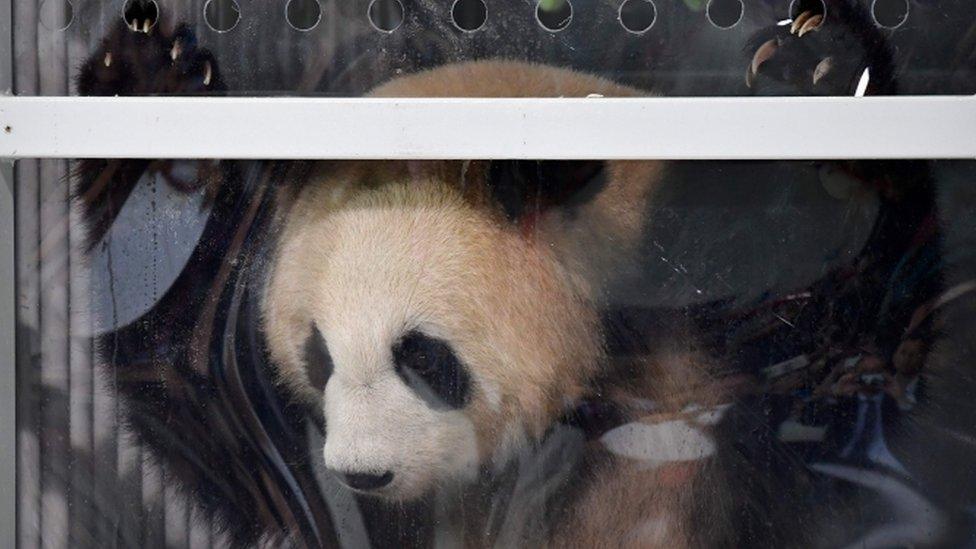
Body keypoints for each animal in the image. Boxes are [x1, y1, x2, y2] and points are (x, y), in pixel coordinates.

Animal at [70, 2, 968, 544]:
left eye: (422, 353)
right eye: (317, 355)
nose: (363, 473)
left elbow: (868, 363)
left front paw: (824, 66)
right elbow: (175, 410)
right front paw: (140, 79)